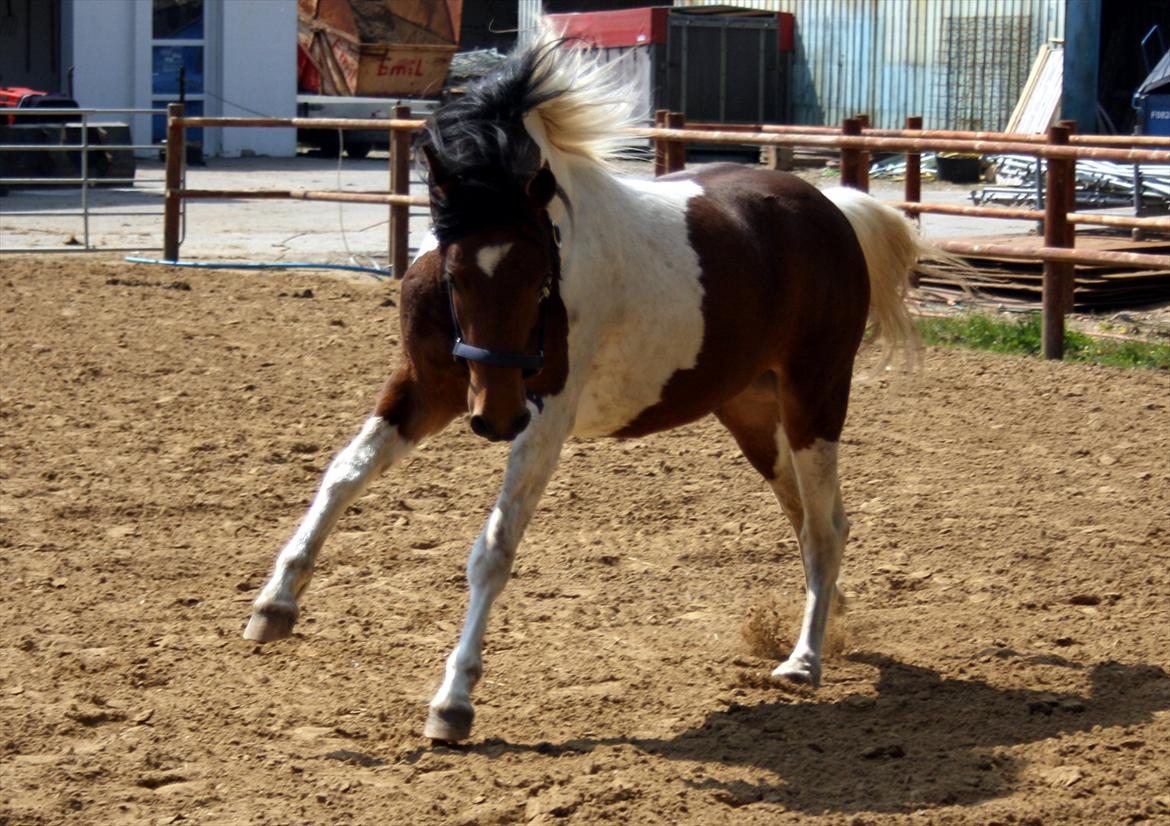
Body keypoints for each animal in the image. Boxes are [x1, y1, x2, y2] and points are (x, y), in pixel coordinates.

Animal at [244, 25, 931, 739]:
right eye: (456, 271)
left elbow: (494, 547)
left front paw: (453, 702)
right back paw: (833, 619)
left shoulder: (545, 414)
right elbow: (344, 473)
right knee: (811, 516)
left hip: (814, 398)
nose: (496, 419)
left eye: (540, 272)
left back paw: (804, 661)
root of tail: (830, 209)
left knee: (825, 526)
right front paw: (274, 606)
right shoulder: (426, 389)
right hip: (750, 412)